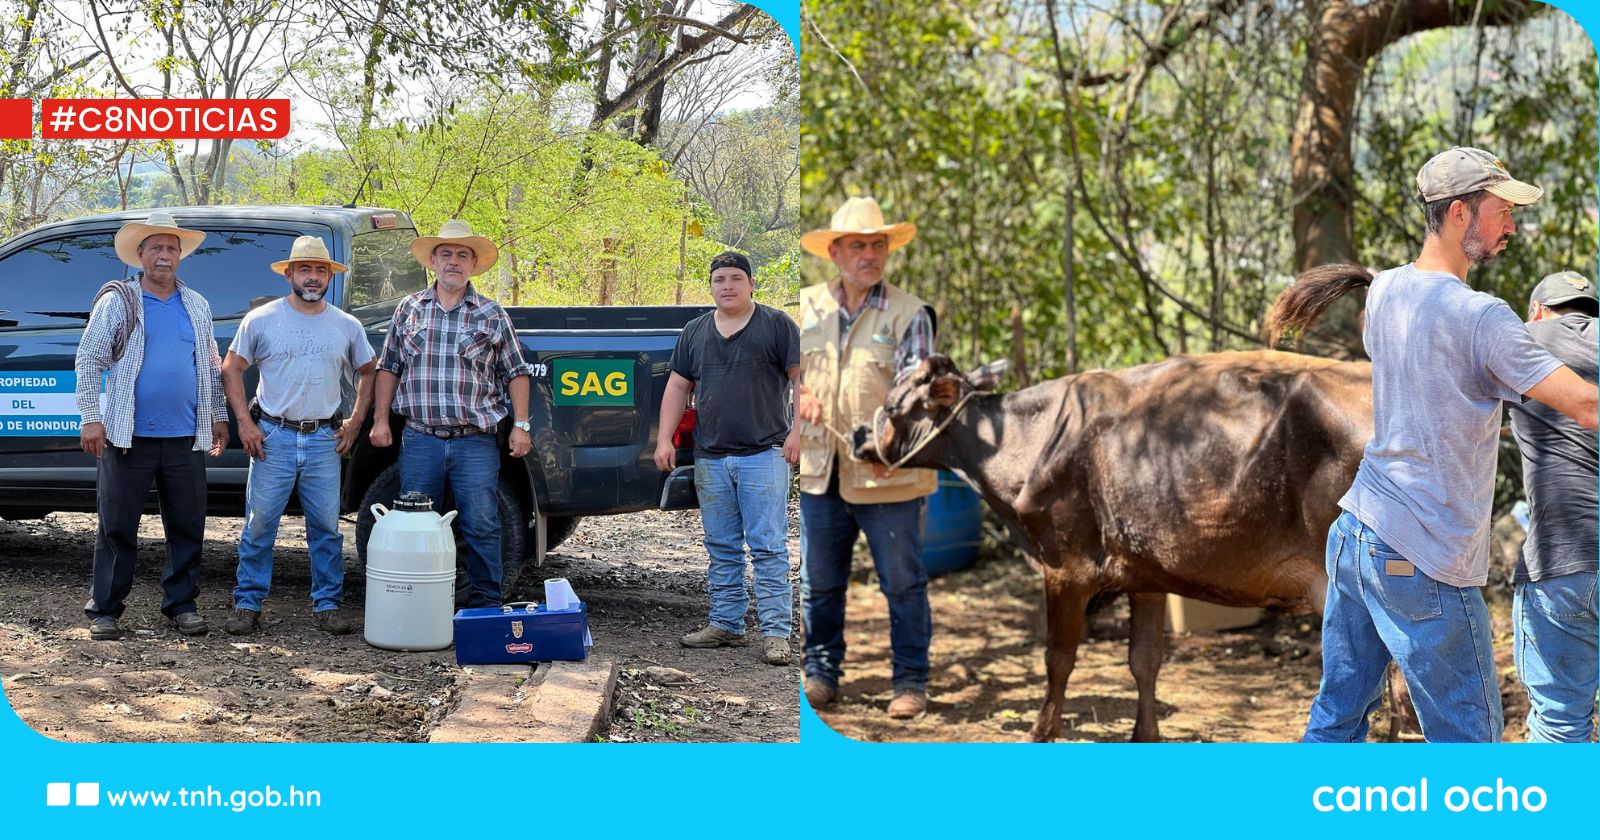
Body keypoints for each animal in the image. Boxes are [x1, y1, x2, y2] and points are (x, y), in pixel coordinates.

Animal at [851, 344, 1376, 736]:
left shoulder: (1065, 565)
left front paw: (1041, 731)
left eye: (895, 404)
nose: (857, 434)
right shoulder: (1148, 573)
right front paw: (1145, 735)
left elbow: (1058, 658)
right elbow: (1145, 661)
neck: (1029, 439)